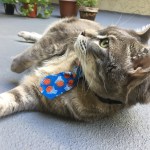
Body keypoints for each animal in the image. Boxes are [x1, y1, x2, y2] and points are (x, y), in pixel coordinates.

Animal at [0, 17, 150, 120]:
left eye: (105, 43)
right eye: (104, 30)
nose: (83, 32)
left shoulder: (34, 93)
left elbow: (8, 100)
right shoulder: (59, 37)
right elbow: (30, 55)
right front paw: (15, 63)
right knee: (40, 37)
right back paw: (25, 34)